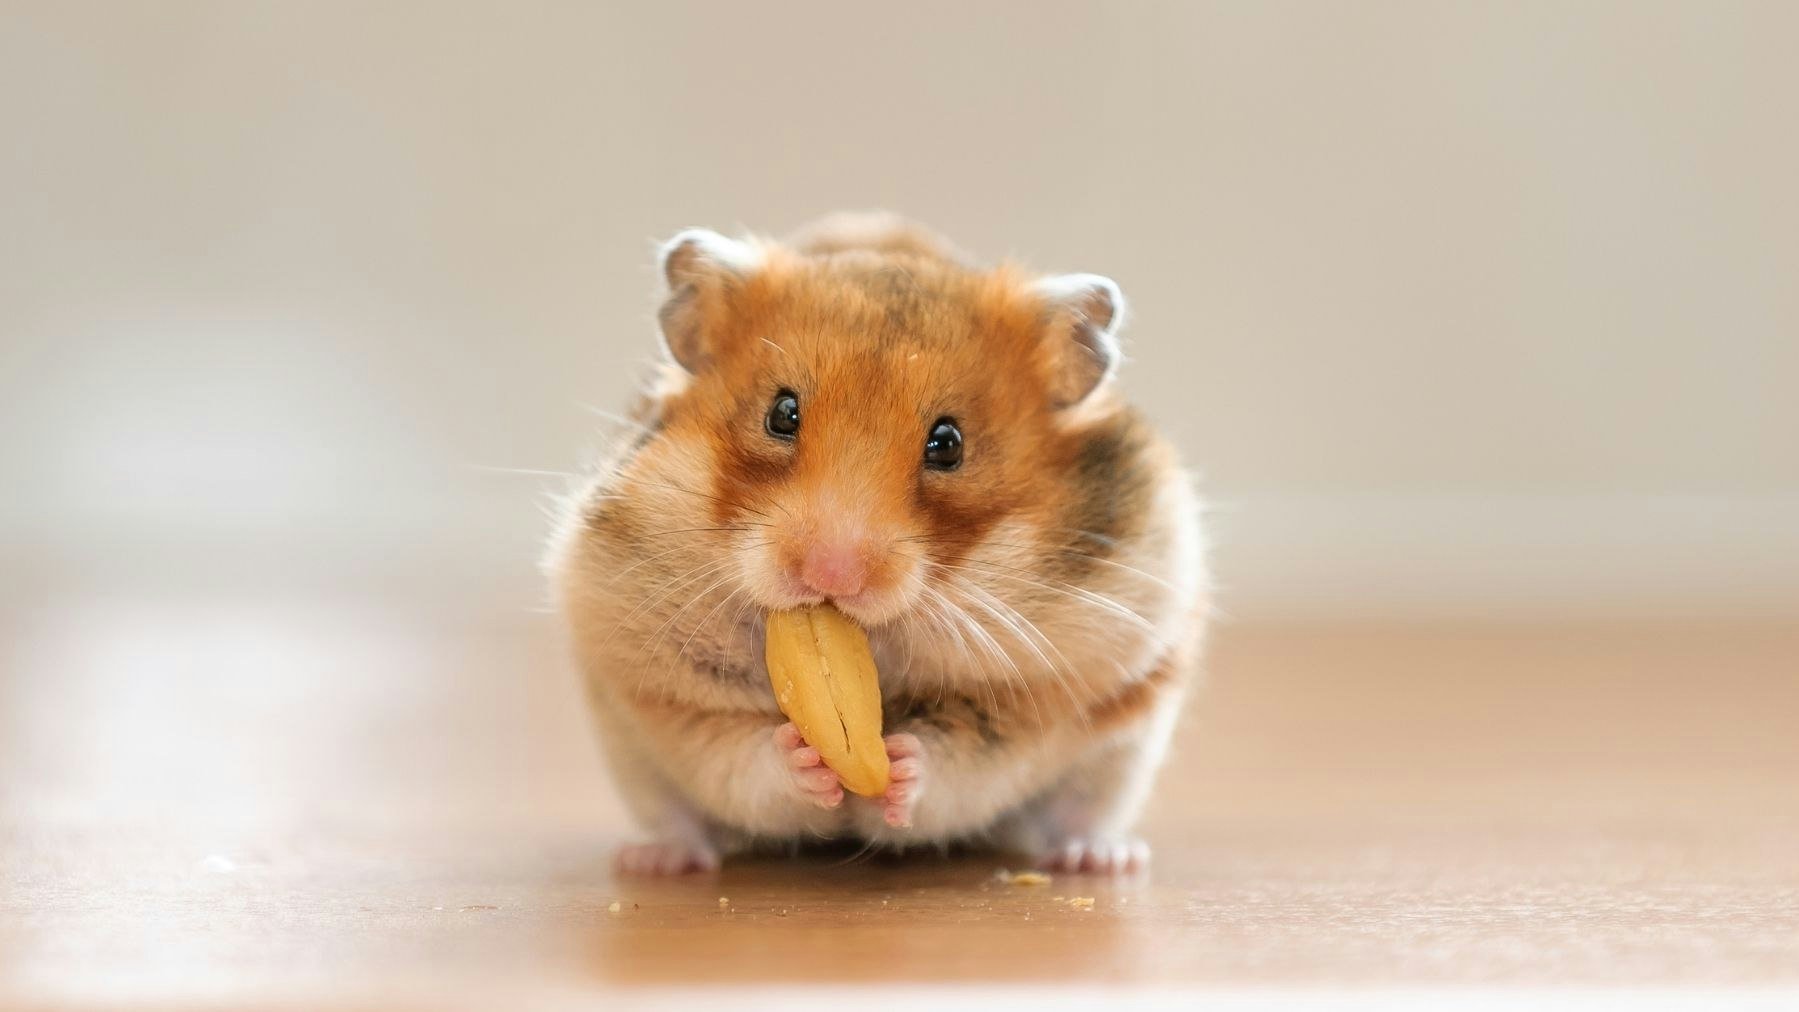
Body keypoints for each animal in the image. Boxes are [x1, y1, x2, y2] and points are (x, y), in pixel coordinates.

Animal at [546, 213, 1209, 876]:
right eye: (781, 414)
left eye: (949, 443)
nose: (831, 577)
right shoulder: (661, 686)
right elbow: (739, 752)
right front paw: (804, 757)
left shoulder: (1043, 696)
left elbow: (964, 759)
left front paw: (900, 766)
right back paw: (654, 861)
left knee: (1076, 815)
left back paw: (1102, 859)